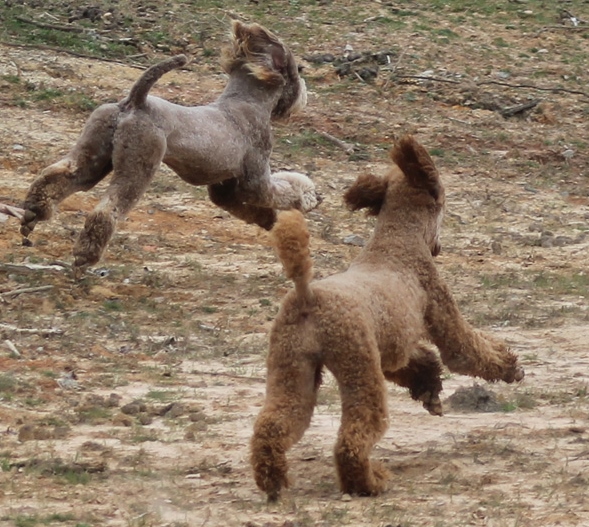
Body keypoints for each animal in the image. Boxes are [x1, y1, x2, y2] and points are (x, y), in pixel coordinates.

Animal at [20, 20, 318, 276]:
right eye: (297, 71)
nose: (304, 95)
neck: (246, 103)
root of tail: (135, 101)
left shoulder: (224, 189)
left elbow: (250, 207)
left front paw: (271, 221)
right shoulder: (255, 179)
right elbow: (286, 188)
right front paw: (310, 197)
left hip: (94, 153)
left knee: (60, 177)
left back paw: (33, 213)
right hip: (139, 164)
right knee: (107, 210)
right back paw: (85, 257)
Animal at [250, 135, 524, 501]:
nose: (439, 246)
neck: (396, 242)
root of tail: (308, 296)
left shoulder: (391, 348)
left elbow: (419, 361)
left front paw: (429, 390)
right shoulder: (438, 308)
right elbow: (466, 352)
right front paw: (511, 367)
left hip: (292, 368)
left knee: (275, 425)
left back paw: (273, 481)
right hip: (357, 366)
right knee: (354, 437)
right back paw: (368, 482)